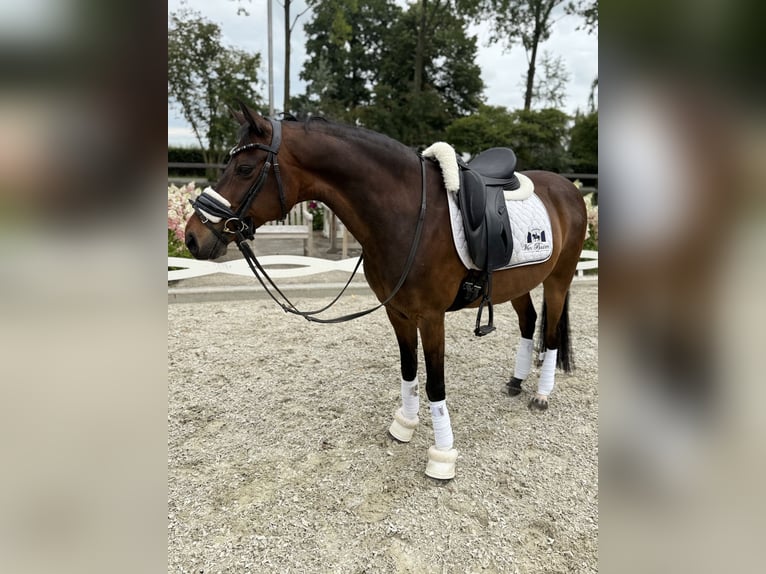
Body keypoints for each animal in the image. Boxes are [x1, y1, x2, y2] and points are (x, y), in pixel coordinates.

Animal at [184, 104, 588, 480]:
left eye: (244, 169)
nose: (192, 236)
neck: (410, 216)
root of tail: (568, 187)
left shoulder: (431, 318)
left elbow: (435, 384)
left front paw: (442, 457)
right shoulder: (398, 312)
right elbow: (408, 370)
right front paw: (404, 425)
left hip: (559, 278)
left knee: (551, 333)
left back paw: (542, 395)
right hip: (519, 281)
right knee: (529, 323)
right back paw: (517, 382)